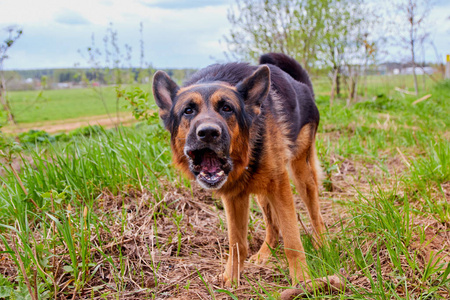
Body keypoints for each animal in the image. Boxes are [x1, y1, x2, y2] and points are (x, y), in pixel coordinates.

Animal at [153, 52, 326, 284]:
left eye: (227, 108)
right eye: (188, 111)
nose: (208, 133)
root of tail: (303, 86)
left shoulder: (279, 186)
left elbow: (292, 240)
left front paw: (302, 280)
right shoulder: (234, 196)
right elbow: (237, 243)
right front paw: (231, 278)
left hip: (300, 175)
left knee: (315, 213)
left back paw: (322, 243)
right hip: (263, 190)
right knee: (272, 226)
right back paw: (265, 253)